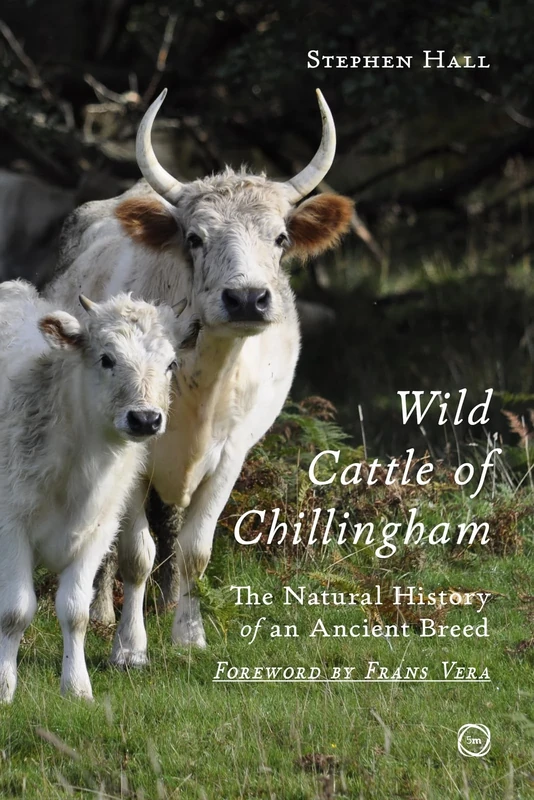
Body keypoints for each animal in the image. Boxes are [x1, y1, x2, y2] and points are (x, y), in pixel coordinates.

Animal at [0, 281, 193, 702]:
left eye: (171, 364)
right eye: (106, 359)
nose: (145, 418)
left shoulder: (97, 531)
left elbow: (75, 611)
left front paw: (76, 686)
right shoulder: (10, 526)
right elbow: (15, 610)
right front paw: (4, 686)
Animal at [45, 89, 353, 666]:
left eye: (280, 237)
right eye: (195, 237)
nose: (247, 298)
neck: (203, 377)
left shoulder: (232, 454)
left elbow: (193, 549)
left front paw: (188, 635)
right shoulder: (134, 449)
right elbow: (135, 553)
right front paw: (129, 646)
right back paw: (102, 614)